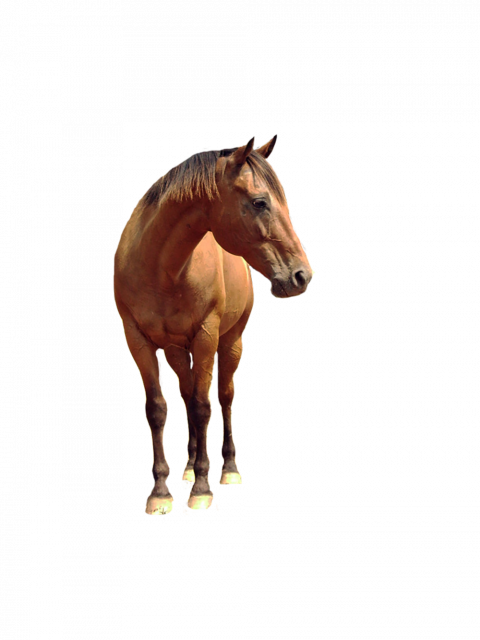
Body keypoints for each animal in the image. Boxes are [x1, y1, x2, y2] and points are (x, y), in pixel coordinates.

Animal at [113, 134, 313, 515]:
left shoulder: (206, 334)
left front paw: (202, 490)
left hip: (230, 342)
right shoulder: (139, 339)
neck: (162, 269)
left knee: (222, 396)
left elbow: (204, 407)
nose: (301, 276)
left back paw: (227, 469)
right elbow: (158, 409)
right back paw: (189, 468)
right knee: (188, 392)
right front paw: (160, 493)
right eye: (260, 202)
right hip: (176, 349)